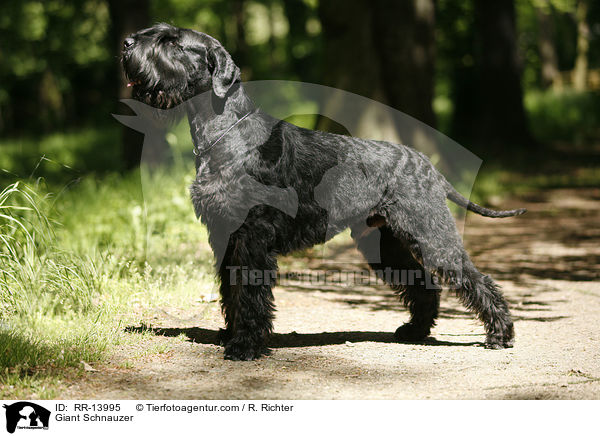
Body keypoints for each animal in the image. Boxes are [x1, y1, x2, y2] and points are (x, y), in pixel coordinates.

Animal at [122, 23, 524, 362]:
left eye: (172, 42)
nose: (126, 43)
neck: (226, 134)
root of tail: (427, 165)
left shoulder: (252, 237)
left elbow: (249, 293)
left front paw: (245, 345)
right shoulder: (224, 234)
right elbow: (230, 289)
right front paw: (230, 333)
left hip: (430, 234)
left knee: (477, 280)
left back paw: (499, 335)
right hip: (383, 241)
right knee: (424, 285)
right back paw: (414, 331)